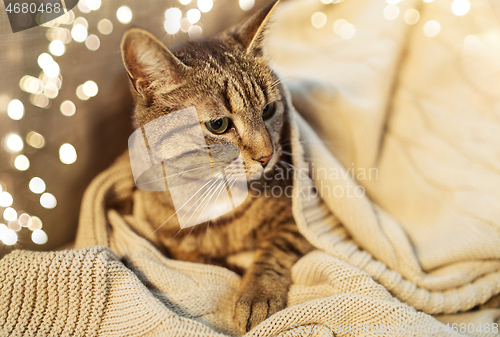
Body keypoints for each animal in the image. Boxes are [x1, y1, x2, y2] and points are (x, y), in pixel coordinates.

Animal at [119, 0, 312, 330]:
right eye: (218, 125)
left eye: (269, 109)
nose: (267, 156)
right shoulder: (169, 242)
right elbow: (199, 260)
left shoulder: (298, 220)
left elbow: (273, 252)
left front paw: (257, 294)